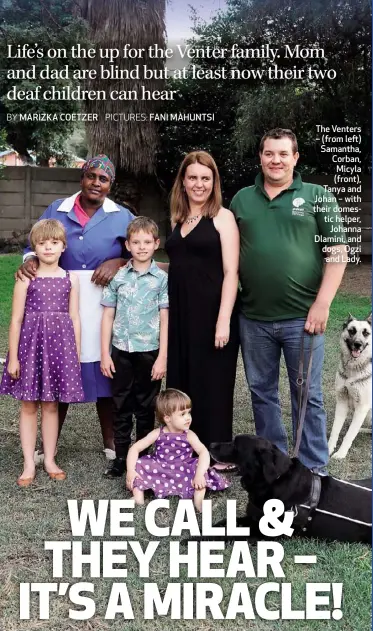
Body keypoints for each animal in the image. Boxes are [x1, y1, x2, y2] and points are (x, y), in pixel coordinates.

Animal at [208, 436, 370, 544]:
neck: (274, 481)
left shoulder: (262, 530)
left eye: (235, 445)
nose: (210, 444)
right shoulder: (253, 517)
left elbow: (227, 533)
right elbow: (224, 522)